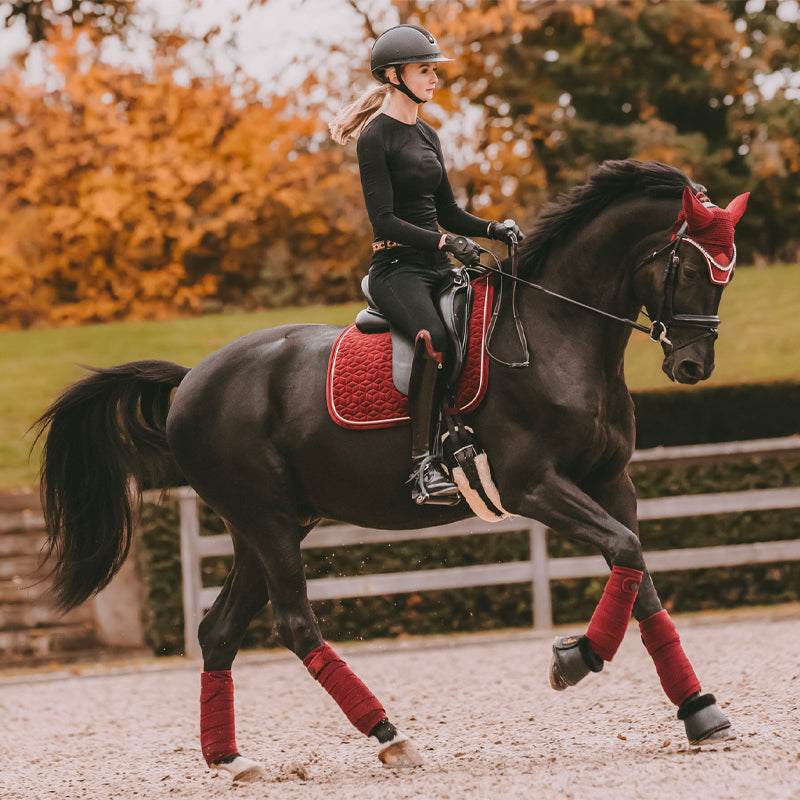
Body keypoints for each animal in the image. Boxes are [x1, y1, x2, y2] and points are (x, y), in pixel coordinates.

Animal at [36, 161, 752, 780]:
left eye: (728, 272)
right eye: (692, 265)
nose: (693, 366)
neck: (558, 336)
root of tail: (191, 380)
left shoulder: (610, 482)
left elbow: (638, 574)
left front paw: (699, 711)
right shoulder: (535, 486)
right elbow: (625, 553)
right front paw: (576, 660)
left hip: (266, 526)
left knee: (218, 631)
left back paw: (232, 760)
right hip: (266, 521)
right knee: (294, 623)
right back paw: (390, 737)